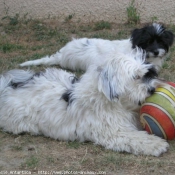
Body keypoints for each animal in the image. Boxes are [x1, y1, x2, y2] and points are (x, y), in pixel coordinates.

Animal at [0, 49, 170, 156]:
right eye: (135, 77)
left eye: (147, 74)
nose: (152, 90)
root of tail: (7, 86)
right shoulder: (112, 132)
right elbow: (135, 137)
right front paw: (155, 144)